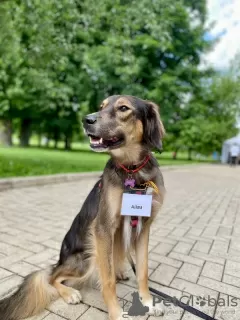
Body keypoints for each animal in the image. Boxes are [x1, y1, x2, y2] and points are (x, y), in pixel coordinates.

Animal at [0, 95, 165, 320]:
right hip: (85, 257)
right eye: (101, 106)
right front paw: (116, 313)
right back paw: (70, 293)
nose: (86, 120)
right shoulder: (103, 229)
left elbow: (143, 272)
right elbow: (107, 280)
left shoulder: (143, 228)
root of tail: (60, 261)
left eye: (123, 108)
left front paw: (147, 302)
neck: (132, 171)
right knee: (52, 277)